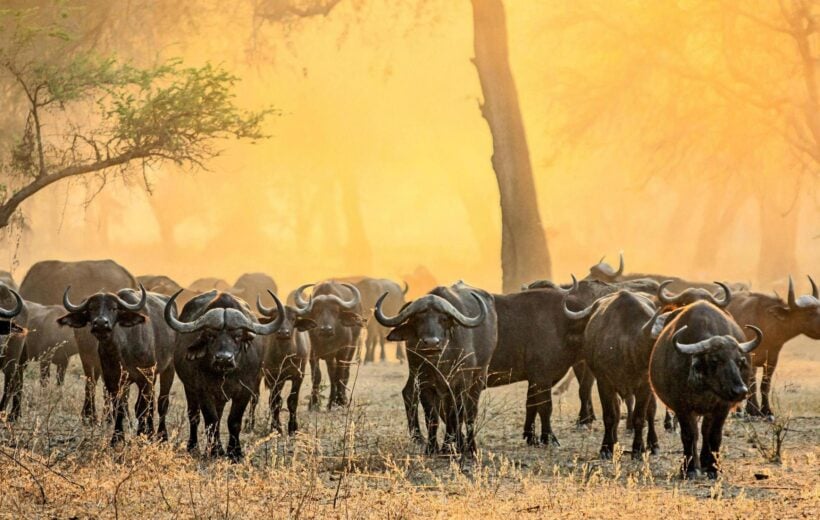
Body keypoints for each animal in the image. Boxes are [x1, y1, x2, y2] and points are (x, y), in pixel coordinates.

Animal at [59, 284, 178, 442]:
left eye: (113, 308)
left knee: (161, 402)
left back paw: (162, 435)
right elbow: (119, 407)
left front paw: (141, 434)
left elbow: (141, 408)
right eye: (91, 308)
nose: (101, 324)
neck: (122, 349)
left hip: (168, 369)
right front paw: (117, 438)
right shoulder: (113, 379)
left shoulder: (144, 377)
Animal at [165, 290, 284, 462]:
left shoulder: (245, 390)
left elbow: (233, 421)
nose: (224, 358)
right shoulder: (203, 391)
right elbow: (211, 420)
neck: (224, 374)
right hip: (190, 389)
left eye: (238, 336)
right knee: (194, 417)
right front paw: (216, 451)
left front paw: (235, 452)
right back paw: (194, 447)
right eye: (210, 335)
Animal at [374, 280, 496, 456]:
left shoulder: (460, 383)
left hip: (479, 376)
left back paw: (470, 447)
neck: (440, 361)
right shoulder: (425, 383)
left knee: (470, 412)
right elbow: (432, 417)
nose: (431, 343)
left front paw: (450, 446)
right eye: (418, 318)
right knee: (411, 394)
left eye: (444, 319)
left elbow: (455, 415)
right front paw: (432, 448)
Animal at [648, 300, 764, 480]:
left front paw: (714, 468)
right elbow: (689, 435)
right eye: (715, 360)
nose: (740, 390)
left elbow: (714, 435)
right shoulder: (682, 407)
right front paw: (689, 469)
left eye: (739, 361)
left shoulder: (721, 408)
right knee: (697, 433)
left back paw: (704, 462)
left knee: (705, 432)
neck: (707, 388)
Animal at [728, 276, 816, 418]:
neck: (766, 322)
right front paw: (753, 410)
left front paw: (766, 410)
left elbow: (765, 384)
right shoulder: (751, 356)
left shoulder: (773, 357)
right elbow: (752, 383)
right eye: (809, 313)